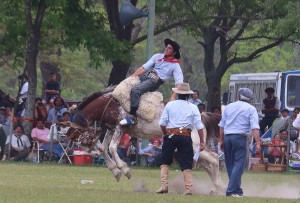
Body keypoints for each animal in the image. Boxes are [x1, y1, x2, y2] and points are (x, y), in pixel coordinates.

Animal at [65, 76, 225, 193]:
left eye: (80, 139)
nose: (92, 152)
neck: (111, 103)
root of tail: (200, 116)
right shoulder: (110, 129)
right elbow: (105, 148)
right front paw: (116, 171)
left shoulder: (119, 128)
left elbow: (111, 148)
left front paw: (125, 170)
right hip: (195, 150)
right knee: (209, 164)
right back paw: (217, 188)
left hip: (194, 145)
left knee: (214, 158)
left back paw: (220, 187)